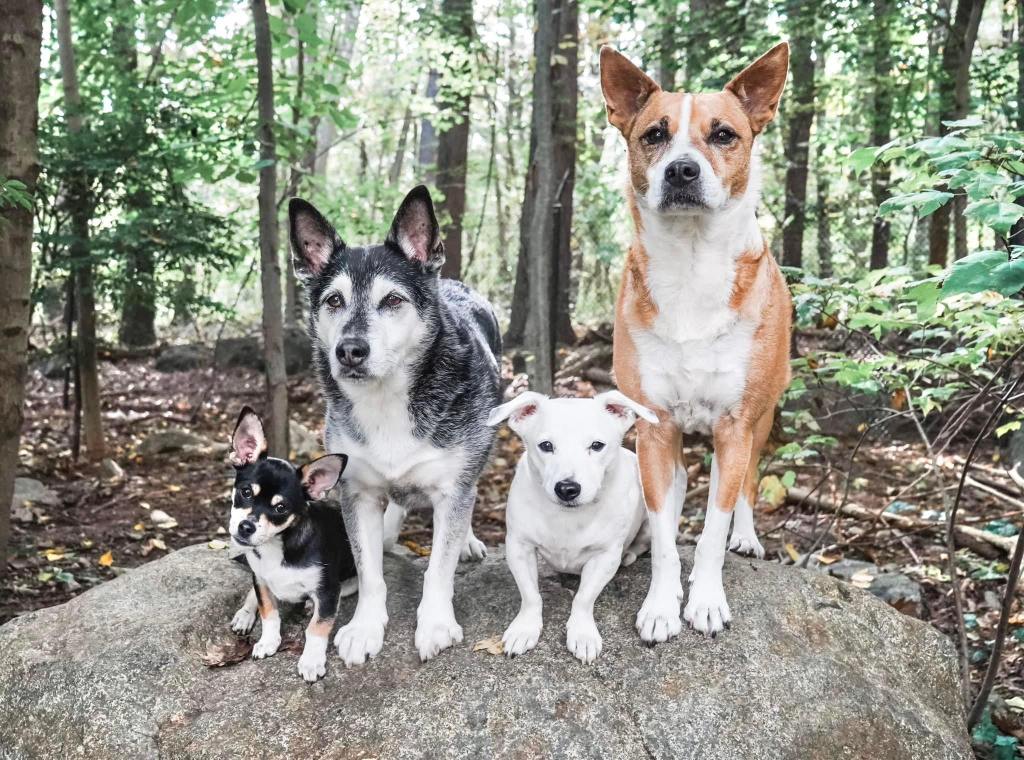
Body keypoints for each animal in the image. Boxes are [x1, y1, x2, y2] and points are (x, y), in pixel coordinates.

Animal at [290, 187, 501, 663]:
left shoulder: (453, 489)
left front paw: (436, 623)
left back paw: (468, 541)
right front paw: (365, 627)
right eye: (333, 300)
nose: (350, 350)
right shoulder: (357, 493)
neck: (388, 399)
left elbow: (439, 567)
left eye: (392, 301)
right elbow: (370, 571)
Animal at [487, 389, 663, 663]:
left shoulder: (604, 558)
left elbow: (583, 598)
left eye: (597, 445)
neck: (567, 517)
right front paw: (525, 628)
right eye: (546, 446)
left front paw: (582, 633)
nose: (567, 488)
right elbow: (530, 595)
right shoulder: (519, 547)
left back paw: (630, 554)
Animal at [598, 43, 794, 643]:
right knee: (680, 485)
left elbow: (712, 529)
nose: (682, 169)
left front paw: (705, 600)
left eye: (724, 134)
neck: (690, 265)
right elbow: (666, 534)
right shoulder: (654, 427)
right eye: (654, 134)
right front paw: (662, 605)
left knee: (747, 483)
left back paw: (746, 537)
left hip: (762, 418)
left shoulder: (735, 425)